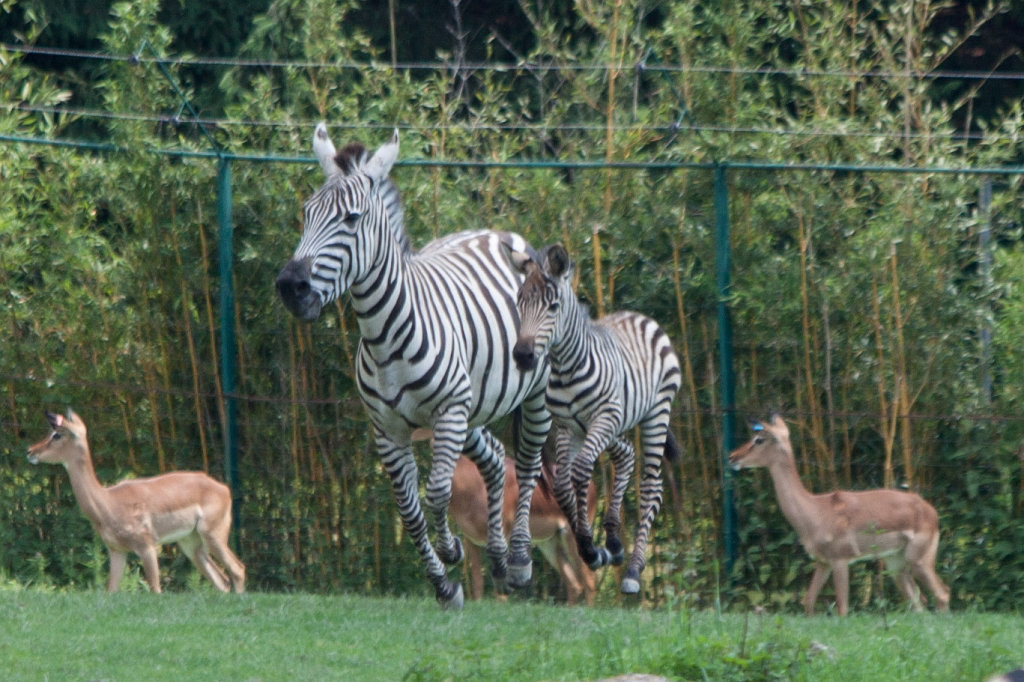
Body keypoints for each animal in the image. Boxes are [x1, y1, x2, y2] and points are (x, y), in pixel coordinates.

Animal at [275, 124, 551, 609]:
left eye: (350, 219)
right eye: (306, 214)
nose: (291, 286)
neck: (384, 338)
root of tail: (496, 231)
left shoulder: (447, 411)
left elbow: (437, 492)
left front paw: (452, 548)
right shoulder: (387, 429)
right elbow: (408, 509)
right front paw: (444, 585)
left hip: (524, 395)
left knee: (529, 462)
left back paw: (518, 559)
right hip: (471, 405)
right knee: (495, 457)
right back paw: (499, 558)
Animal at [509, 242, 681, 595]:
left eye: (553, 306)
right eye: (520, 301)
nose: (522, 355)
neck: (566, 367)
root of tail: (640, 317)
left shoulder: (603, 417)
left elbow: (580, 471)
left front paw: (590, 547)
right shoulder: (566, 427)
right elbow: (562, 484)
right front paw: (594, 549)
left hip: (654, 413)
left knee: (651, 486)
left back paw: (633, 571)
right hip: (611, 425)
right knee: (627, 456)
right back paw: (615, 541)